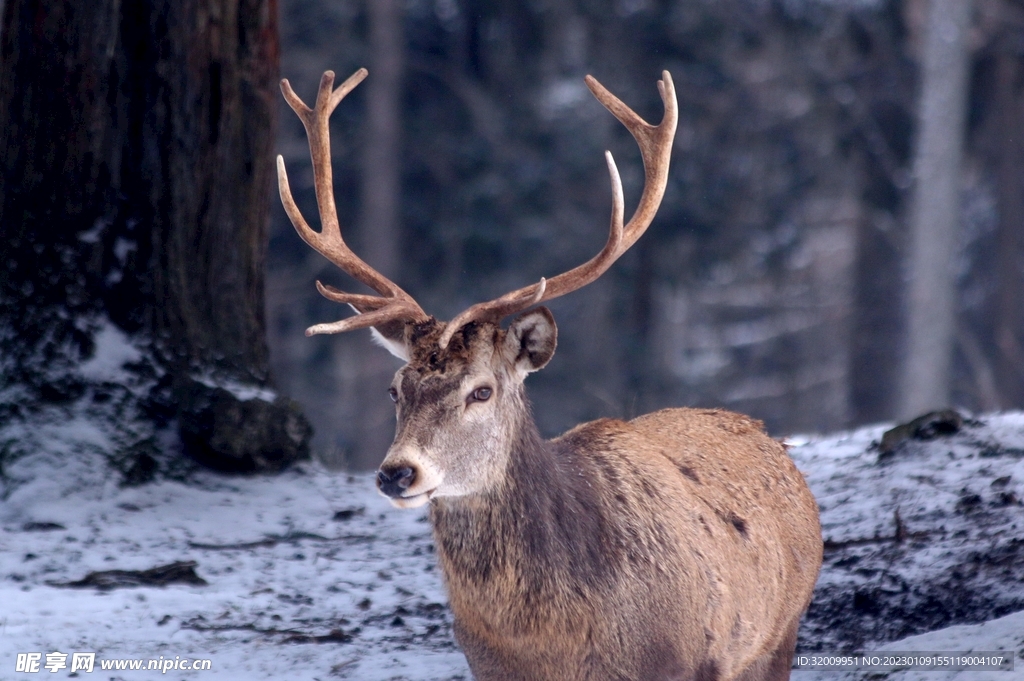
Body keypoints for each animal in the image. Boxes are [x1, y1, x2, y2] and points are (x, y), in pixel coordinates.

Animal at [277, 67, 822, 681]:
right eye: (394, 389)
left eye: (482, 391)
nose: (397, 473)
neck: (553, 644)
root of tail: (772, 442)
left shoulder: (687, 660)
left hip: (776, 635)